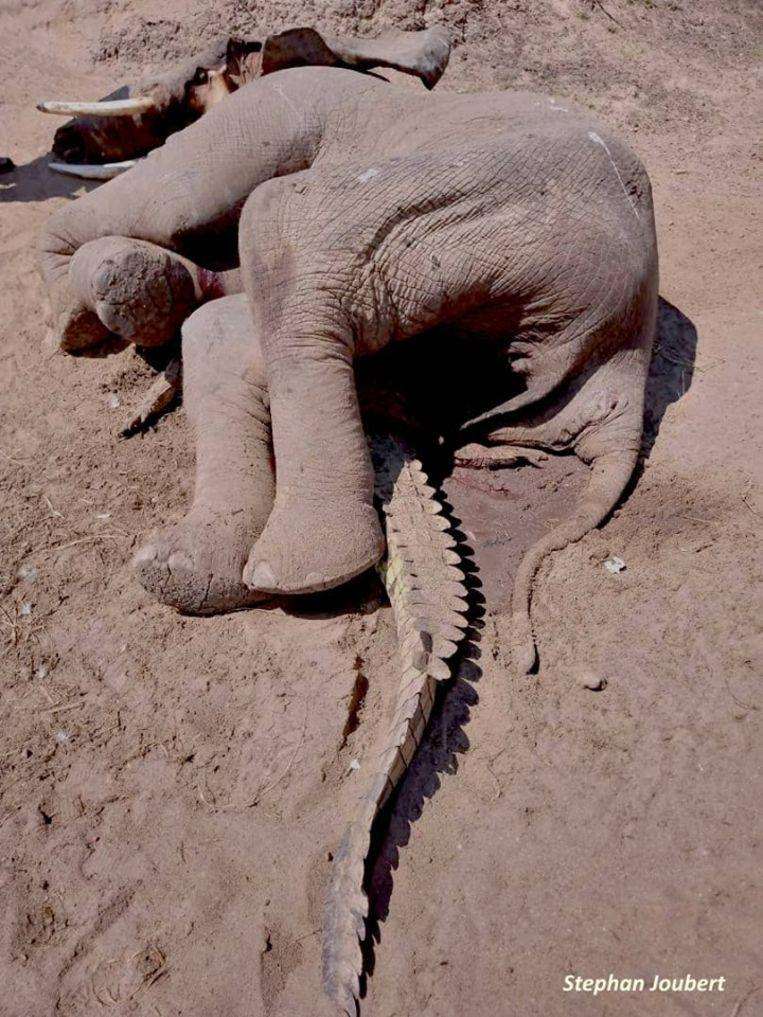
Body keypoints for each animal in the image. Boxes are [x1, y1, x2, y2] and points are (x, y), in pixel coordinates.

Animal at [38, 63, 659, 673]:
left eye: (163, 98)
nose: (62, 144)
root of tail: (626, 364)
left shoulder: (283, 105)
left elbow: (188, 210)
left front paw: (94, 309)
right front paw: (141, 296)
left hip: (497, 211)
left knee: (275, 225)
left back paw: (297, 570)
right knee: (242, 326)